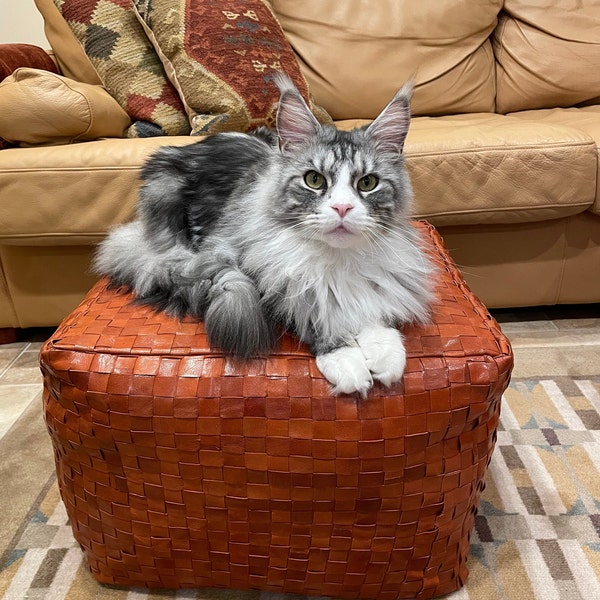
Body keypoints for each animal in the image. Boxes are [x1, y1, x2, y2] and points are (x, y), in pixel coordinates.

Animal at [94, 75, 434, 396]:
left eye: (367, 183)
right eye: (314, 180)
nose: (341, 208)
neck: (336, 261)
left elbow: (375, 308)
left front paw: (385, 354)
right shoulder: (253, 270)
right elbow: (310, 314)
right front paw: (346, 361)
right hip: (168, 208)